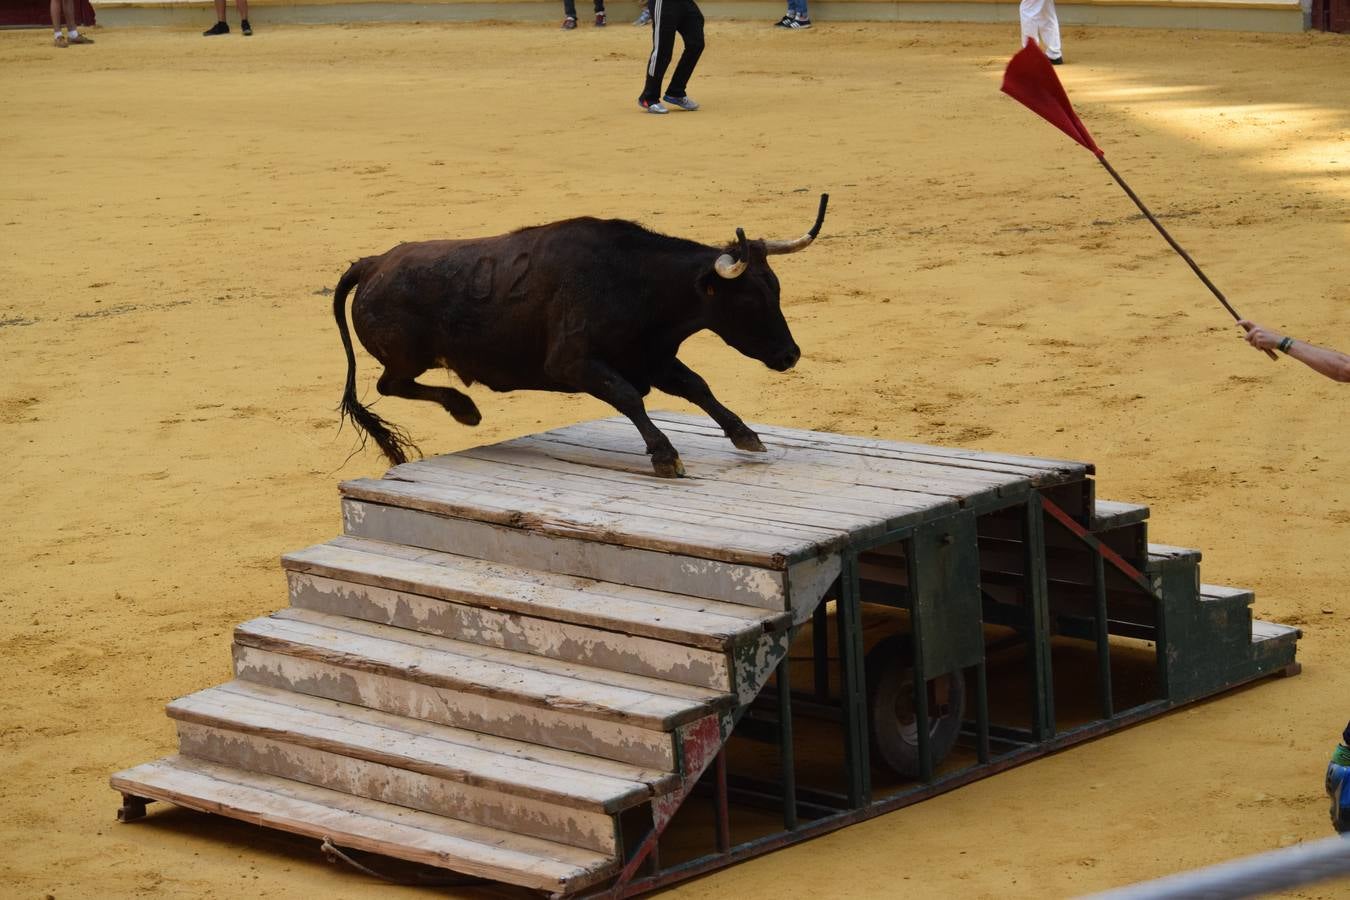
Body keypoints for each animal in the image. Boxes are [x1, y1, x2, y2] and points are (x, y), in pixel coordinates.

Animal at [332, 195, 826, 477]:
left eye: (776, 290)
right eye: (749, 301)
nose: (790, 355)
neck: (634, 282)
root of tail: (374, 262)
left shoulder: (652, 357)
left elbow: (697, 387)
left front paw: (745, 434)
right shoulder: (574, 364)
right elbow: (629, 397)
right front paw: (664, 454)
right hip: (406, 356)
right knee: (389, 385)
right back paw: (465, 408)